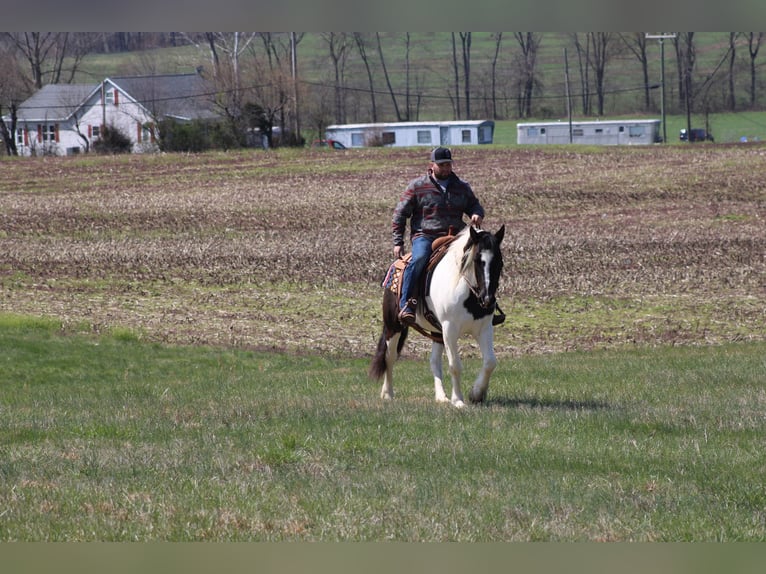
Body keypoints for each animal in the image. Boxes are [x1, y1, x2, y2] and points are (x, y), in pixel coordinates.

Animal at [370, 225, 508, 410]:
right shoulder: (450, 329)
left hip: (437, 332)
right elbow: (455, 365)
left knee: (434, 362)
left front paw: (476, 394)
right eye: (477, 260)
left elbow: (490, 362)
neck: (468, 295)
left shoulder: (484, 329)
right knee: (389, 357)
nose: (488, 299)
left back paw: (441, 397)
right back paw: (387, 394)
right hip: (394, 326)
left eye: (499, 262)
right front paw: (458, 400)